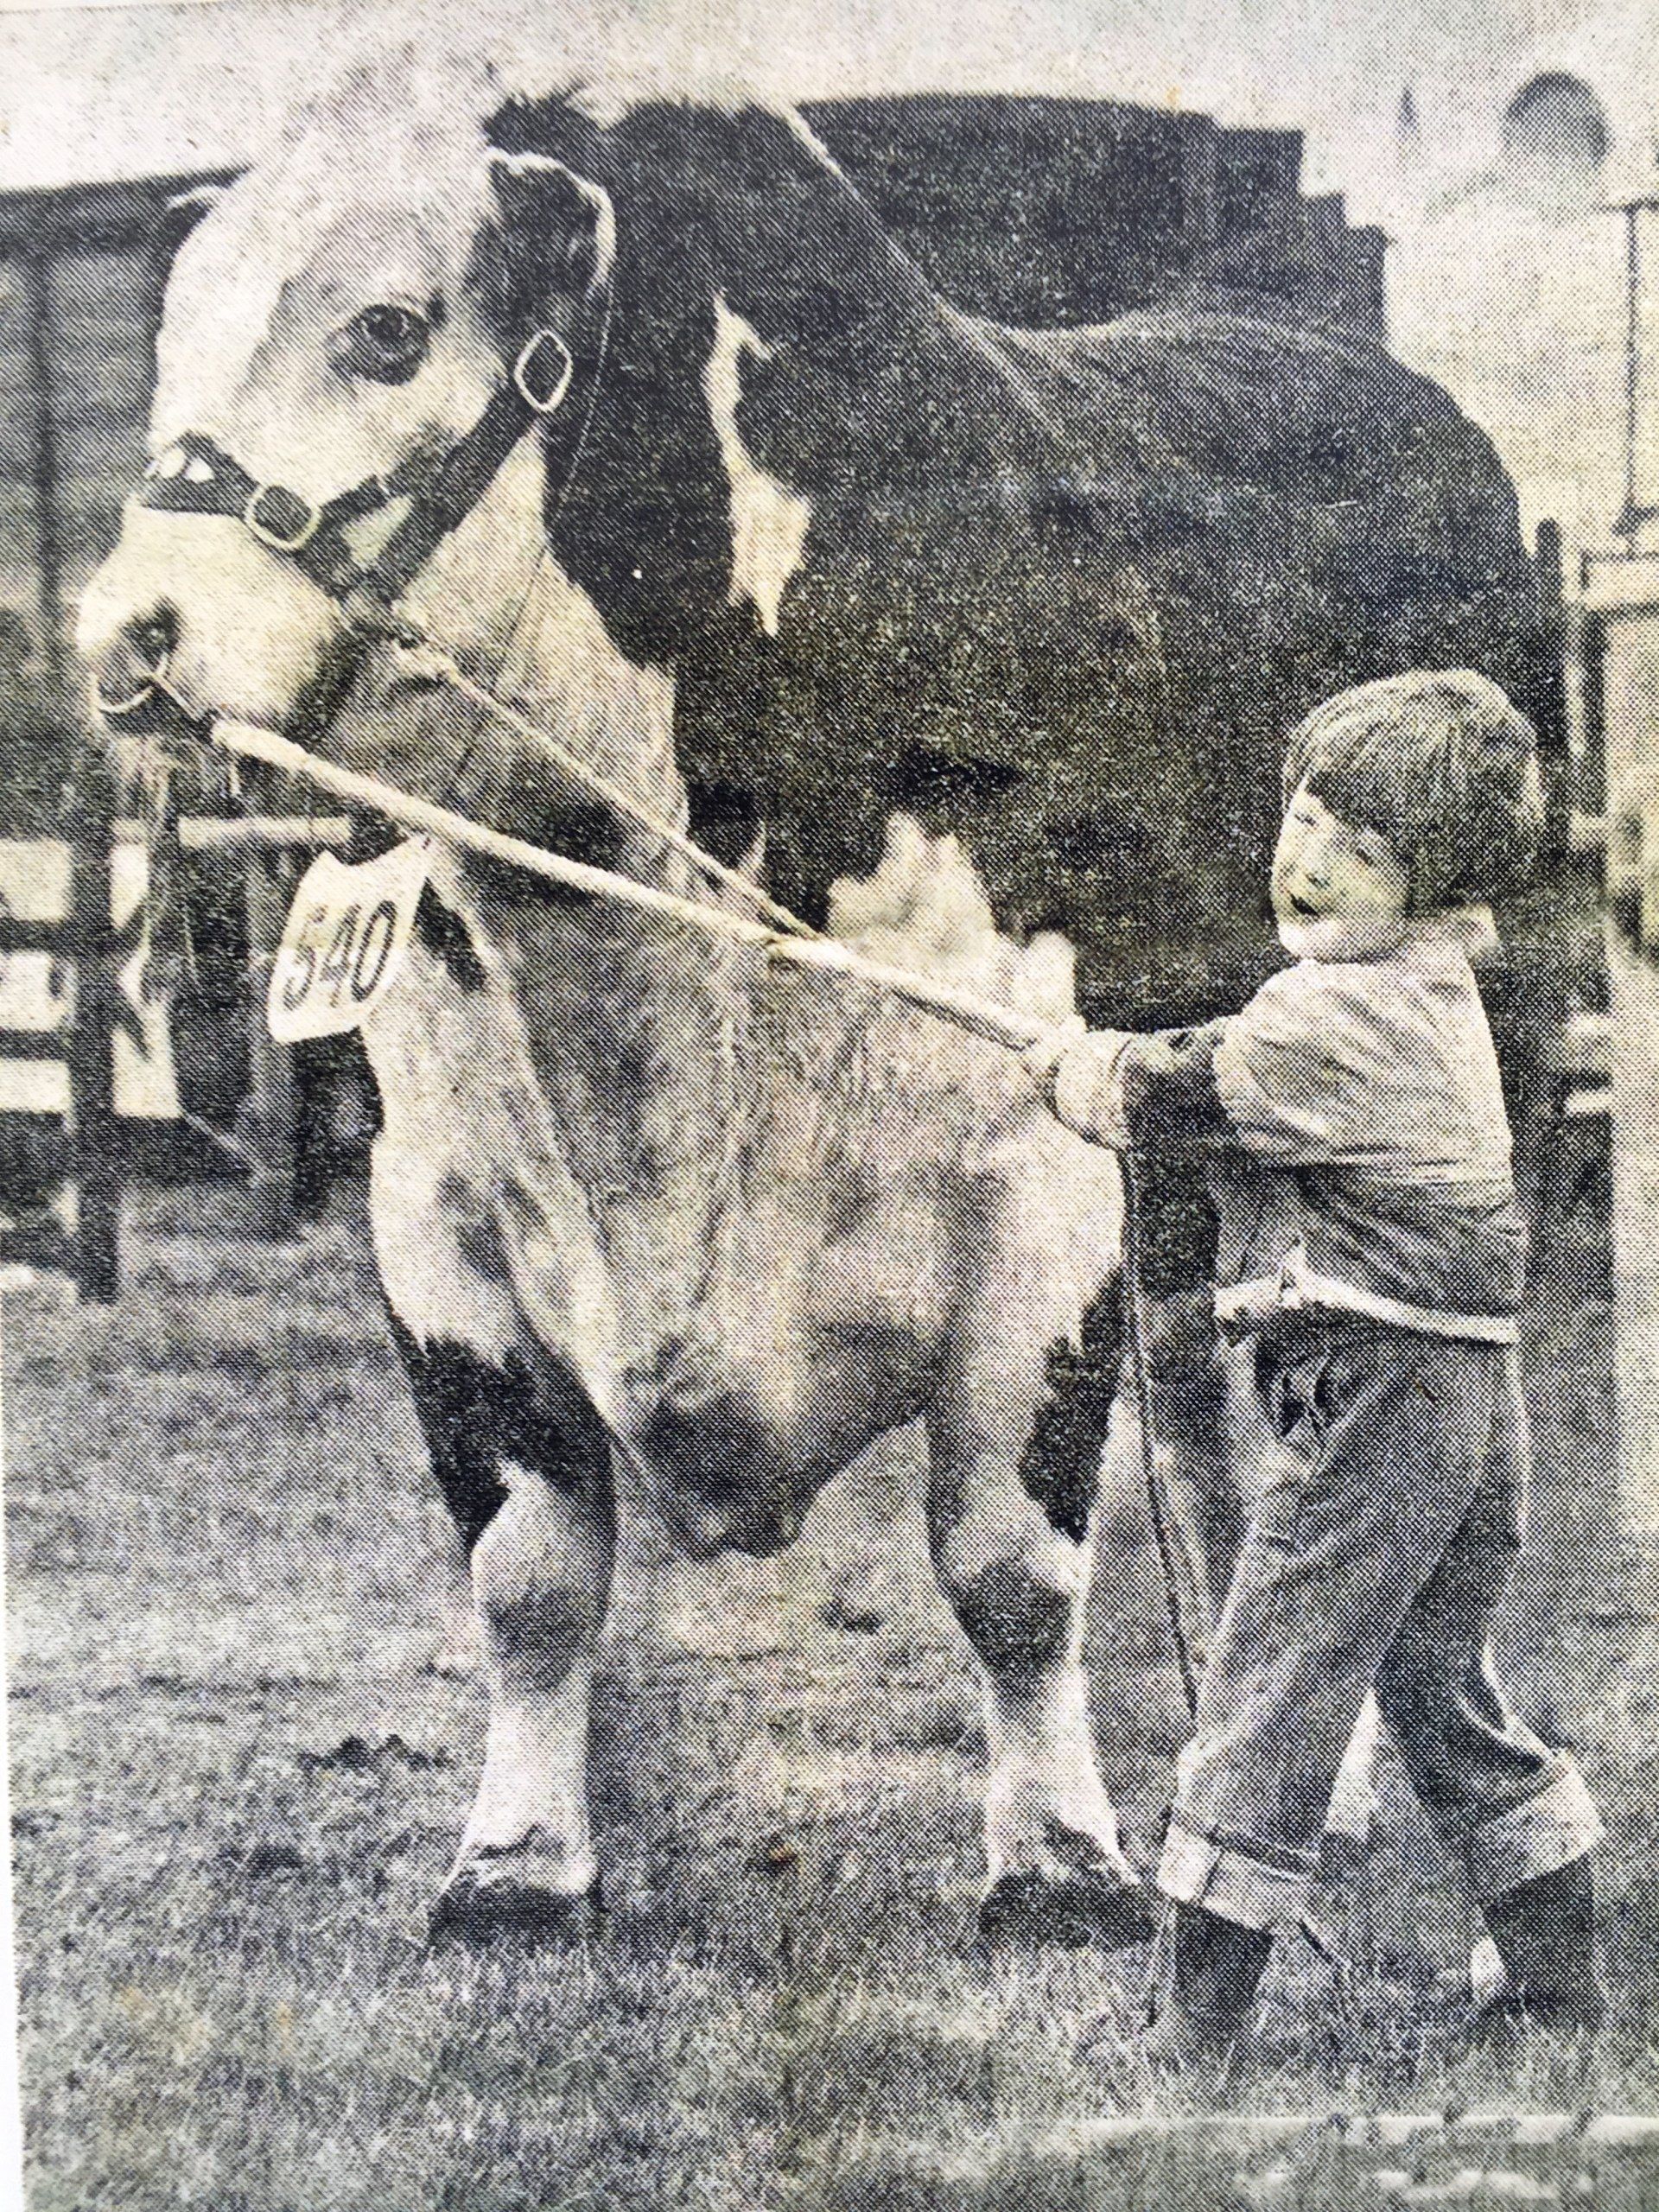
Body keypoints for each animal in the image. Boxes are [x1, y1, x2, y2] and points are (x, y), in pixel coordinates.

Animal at [77, 36, 1543, 1942]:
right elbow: (529, 1570)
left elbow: (1010, 1564)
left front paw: (1057, 1859)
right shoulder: (432, 1210)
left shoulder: (1038, 1188)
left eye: (387, 328)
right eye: (175, 327)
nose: (125, 636)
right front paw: (516, 1861)